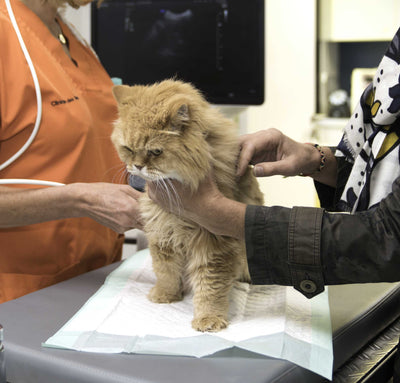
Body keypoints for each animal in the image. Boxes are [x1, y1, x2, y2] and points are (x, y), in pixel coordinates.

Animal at [111, 79, 264, 332]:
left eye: (155, 151)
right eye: (129, 149)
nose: (137, 166)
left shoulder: (213, 243)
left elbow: (210, 287)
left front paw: (208, 319)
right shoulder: (162, 233)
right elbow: (166, 271)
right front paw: (166, 296)